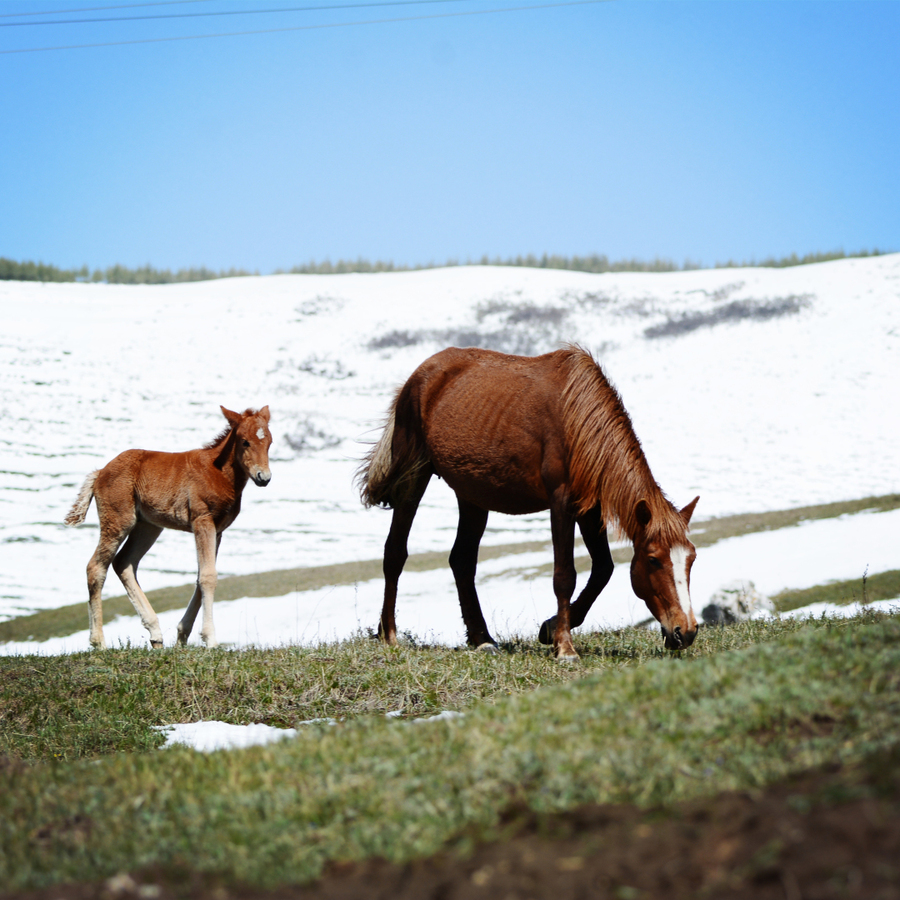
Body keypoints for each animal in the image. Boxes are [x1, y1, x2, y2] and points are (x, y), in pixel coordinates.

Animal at [65, 406, 272, 648]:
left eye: (269, 441)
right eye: (245, 441)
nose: (263, 477)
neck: (219, 473)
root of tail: (100, 472)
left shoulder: (218, 530)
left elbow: (201, 576)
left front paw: (182, 636)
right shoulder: (202, 520)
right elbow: (208, 576)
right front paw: (210, 640)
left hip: (148, 526)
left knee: (124, 562)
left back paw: (155, 633)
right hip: (118, 520)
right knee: (96, 567)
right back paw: (99, 643)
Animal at [362, 346, 700, 660]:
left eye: (692, 559)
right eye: (654, 560)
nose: (685, 632)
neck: (576, 419)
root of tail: (420, 374)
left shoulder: (590, 508)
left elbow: (603, 568)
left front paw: (550, 629)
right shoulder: (561, 502)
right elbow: (565, 575)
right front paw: (565, 647)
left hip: (472, 496)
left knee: (462, 561)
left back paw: (481, 638)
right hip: (414, 476)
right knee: (395, 552)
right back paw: (390, 635)